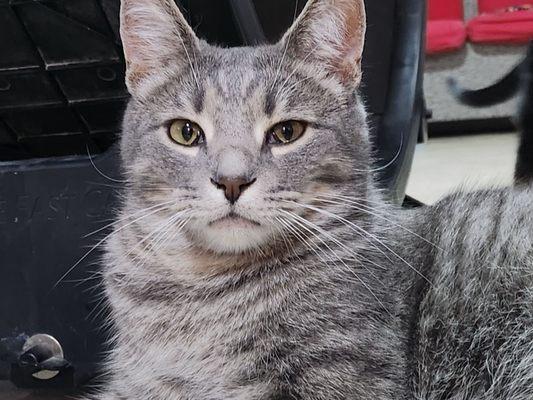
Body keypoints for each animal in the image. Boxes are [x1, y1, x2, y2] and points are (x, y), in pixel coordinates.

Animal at [86, 0, 532, 400]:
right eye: (185, 132)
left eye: (287, 132)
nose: (231, 181)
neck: (199, 287)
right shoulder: (133, 384)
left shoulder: (343, 374)